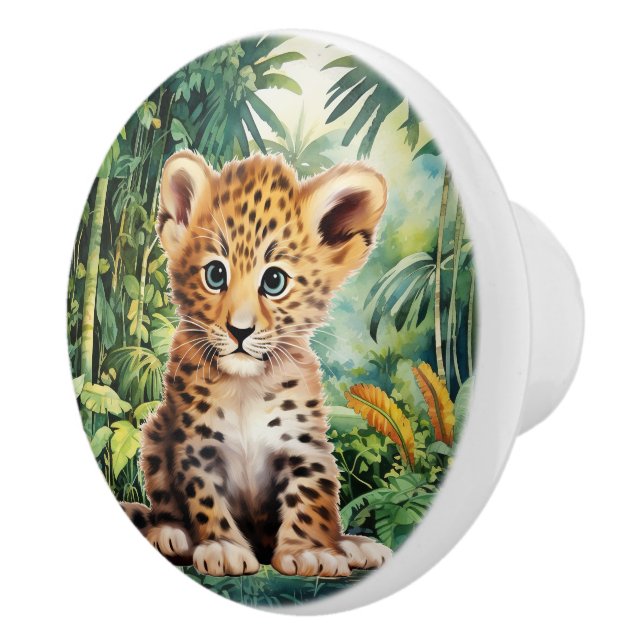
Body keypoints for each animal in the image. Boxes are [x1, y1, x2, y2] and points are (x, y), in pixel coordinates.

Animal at [121, 149, 392, 577]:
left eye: (275, 281)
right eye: (216, 274)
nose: (240, 330)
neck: (244, 385)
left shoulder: (303, 445)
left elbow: (312, 497)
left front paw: (309, 551)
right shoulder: (196, 446)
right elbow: (204, 498)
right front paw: (222, 547)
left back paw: (354, 545)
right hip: (155, 432)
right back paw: (170, 532)